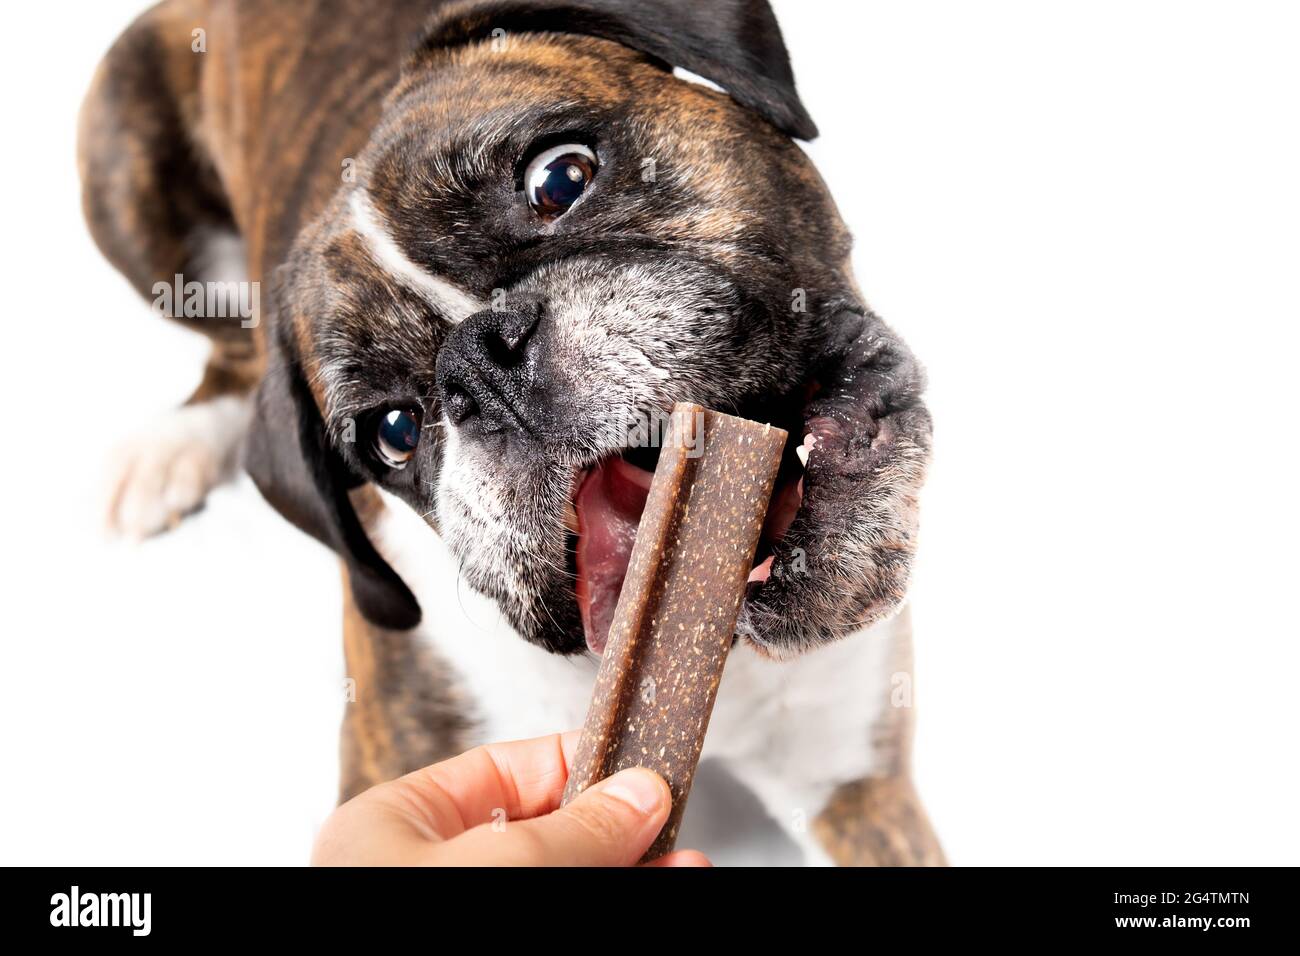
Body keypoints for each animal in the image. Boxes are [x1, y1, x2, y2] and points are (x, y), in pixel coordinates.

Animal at [81, 0, 946, 868]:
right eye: (393, 431)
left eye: (561, 179)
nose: (476, 360)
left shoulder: (857, 785)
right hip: (122, 162)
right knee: (228, 341)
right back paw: (169, 449)